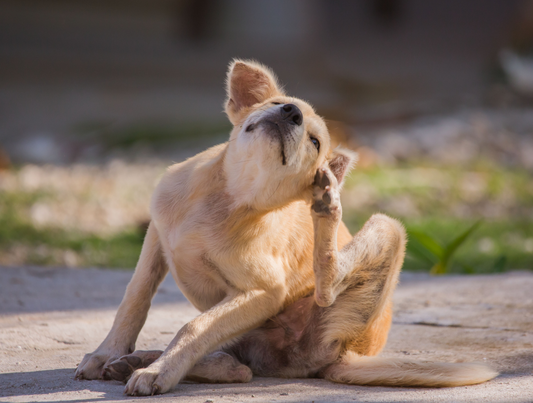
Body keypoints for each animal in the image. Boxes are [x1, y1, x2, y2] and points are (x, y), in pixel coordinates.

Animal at [72, 60, 496, 398]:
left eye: (315, 141)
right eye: (277, 105)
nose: (290, 112)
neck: (227, 198)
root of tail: (349, 354)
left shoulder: (263, 292)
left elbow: (194, 326)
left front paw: (159, 372)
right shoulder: (157, 238)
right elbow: (134, 299)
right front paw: (108, 353)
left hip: (384, 234)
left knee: (289, 320)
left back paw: (327, 206)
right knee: (236, 364)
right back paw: (136, 360)